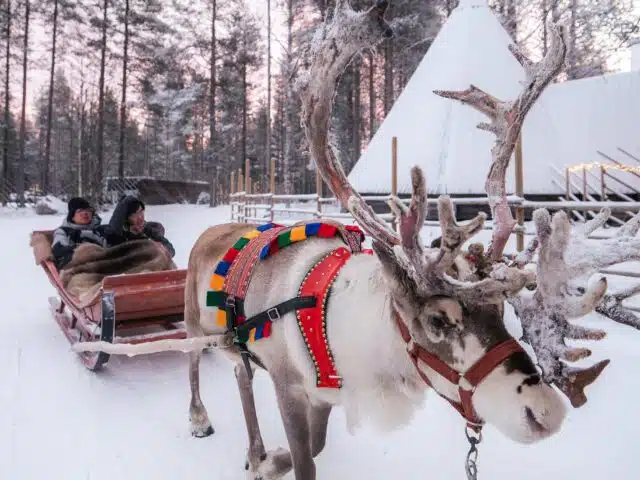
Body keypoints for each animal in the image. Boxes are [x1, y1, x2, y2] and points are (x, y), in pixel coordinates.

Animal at [182, 2, 640, 479]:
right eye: (438, 320)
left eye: (500, 311)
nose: (545, 412)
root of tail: (209, 233)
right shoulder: (288, 383)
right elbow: (306, 460)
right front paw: (274, 461)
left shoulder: (324, 397)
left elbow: (318, 445)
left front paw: (269, 460)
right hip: (193, 321)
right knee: (193, 362)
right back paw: (199, 419)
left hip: (232, 345)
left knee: (239, 372)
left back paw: (254, 450)